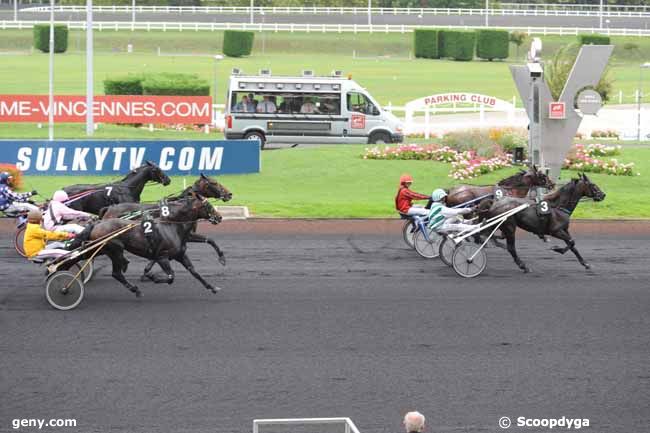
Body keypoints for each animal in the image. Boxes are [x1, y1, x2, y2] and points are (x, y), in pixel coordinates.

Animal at [72, 195, 221, 296]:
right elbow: (171, 276)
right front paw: (152, 277)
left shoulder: (180, 255)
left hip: (103, 249)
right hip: (114, 249)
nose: (219, 217)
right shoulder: (162, 257)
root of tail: (97, 224)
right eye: (208, 206)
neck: (172, 226)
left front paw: (212, 287)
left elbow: (194, 272)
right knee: (115, 272)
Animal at [476, 173, 604, 272]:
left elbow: (573, 245)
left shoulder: (564, 230)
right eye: (592, 185)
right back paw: (523, 266)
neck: (558, 206)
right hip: (510, 227)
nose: (603, 195)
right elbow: (571, 242)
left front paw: (585, 263)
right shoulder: (555, 231)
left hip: (499, 225)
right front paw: (557, 249)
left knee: (487, 234)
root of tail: (495, 203)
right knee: (510, 247)